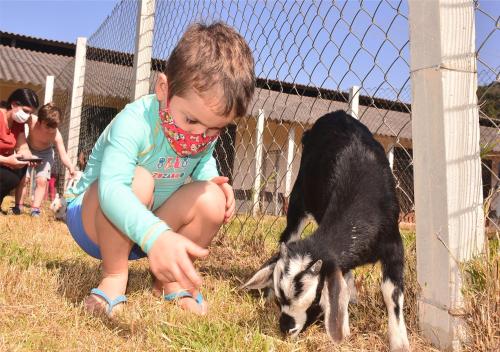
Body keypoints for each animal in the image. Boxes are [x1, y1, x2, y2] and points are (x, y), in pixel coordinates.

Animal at [242, 111, 410, 350]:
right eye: (280, 299)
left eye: (315, 298)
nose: (286, 328)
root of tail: (337, 114)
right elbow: (345, 283)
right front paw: (345, 328)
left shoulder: (394, 244)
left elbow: (390, 292)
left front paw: (399, 342)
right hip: (298, 197)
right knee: (289, 234)